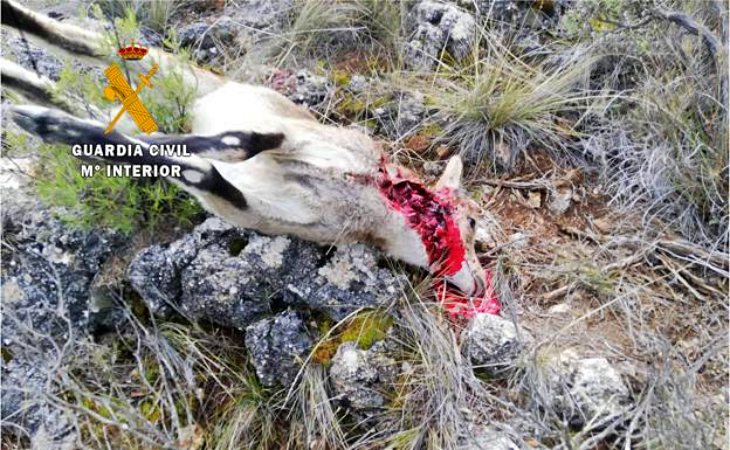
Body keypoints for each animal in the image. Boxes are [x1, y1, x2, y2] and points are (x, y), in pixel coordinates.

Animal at [1, 0, 496, 308]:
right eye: (472, 224)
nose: (478, 283)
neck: (373, 194)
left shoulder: (244, 206)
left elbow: (201, 170)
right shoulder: (297, 137)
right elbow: (238, 144)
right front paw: (179, 142)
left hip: (137, 100)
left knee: (70, 97)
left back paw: (38, 112)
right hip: (167, 68)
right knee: (79, 41)